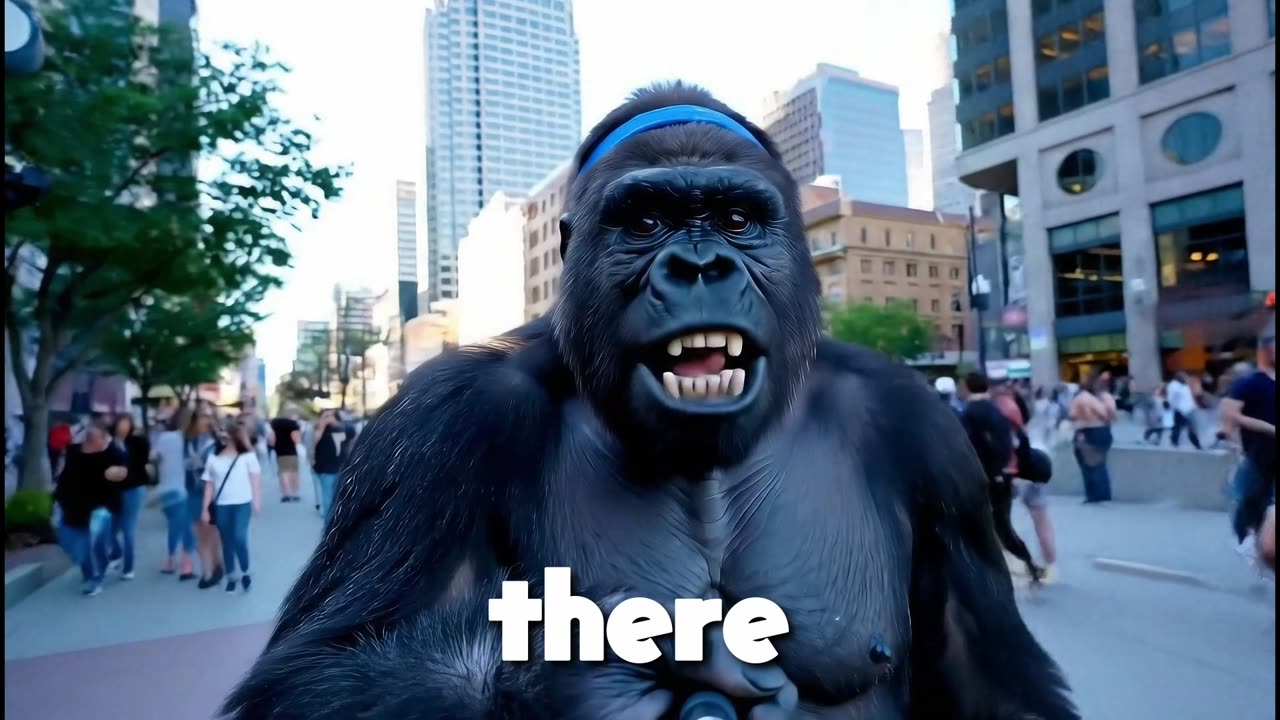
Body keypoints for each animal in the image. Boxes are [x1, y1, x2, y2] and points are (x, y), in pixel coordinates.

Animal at [223, 83, 1078, 720]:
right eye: (646, 220)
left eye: (735, 218)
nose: (697, 266)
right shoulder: (437, 424)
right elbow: (318, 672)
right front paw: (575, 659)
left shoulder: (929, 443)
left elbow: (990, 678)